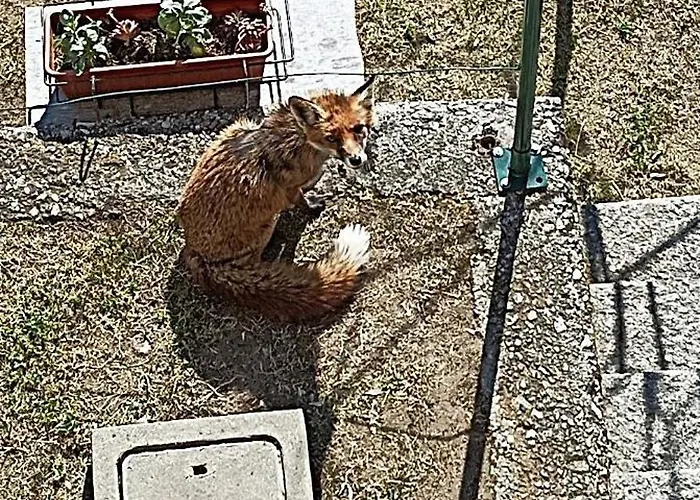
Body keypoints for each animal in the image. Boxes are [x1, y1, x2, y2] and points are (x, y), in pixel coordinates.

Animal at [176, 76, 378, 322]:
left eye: (359, 129)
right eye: (331, 138)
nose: (356, 160)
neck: (299, 140)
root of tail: (195, 252)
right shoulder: (289, 188)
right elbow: (301, 199)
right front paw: (312, 205)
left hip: (235, 127)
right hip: (266, 224)